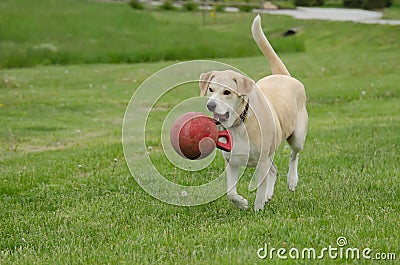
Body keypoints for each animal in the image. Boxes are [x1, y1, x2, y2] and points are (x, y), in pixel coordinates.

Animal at [199, 16, 306, 210]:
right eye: (210, 89)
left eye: (227, 92)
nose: (210, 105)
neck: (241, 123)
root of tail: (284, 76)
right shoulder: (231, 161)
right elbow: (230, 192)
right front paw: (241, 203)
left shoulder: (261, 161)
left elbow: (260, 187)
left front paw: (258, 208)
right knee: (274, 169)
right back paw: (270, 194)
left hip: (297, 136)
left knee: (294, 154)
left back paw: (292, 180)